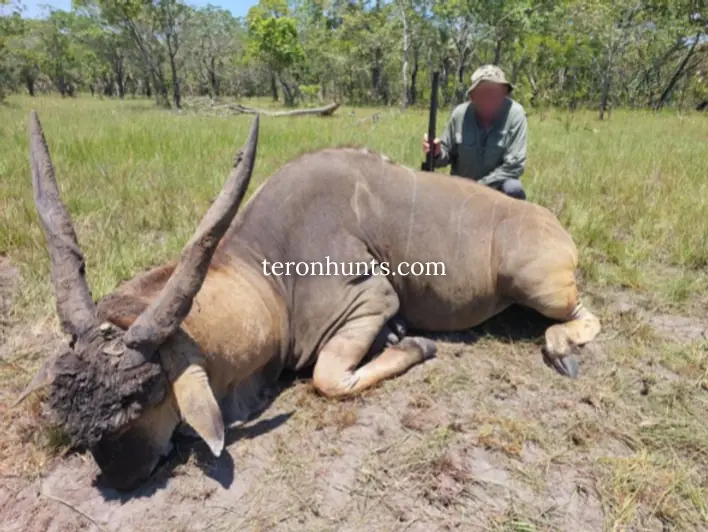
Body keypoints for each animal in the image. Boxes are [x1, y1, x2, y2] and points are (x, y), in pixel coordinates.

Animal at [19, 111, 600, 490]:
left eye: (145, 393)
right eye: (66, 405)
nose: (121, 477)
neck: (268, 268)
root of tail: (556, 228)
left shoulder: (370, 302)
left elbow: (327, 379)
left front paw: (417, 346)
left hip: (537, 284)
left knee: (583, 314)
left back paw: (561, 349)